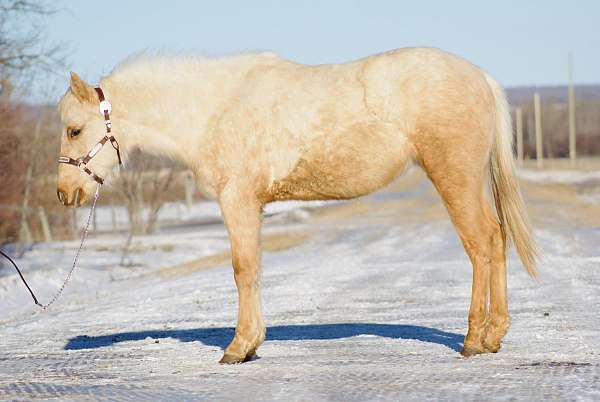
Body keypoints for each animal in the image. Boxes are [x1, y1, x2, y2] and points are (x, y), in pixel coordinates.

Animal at [56, 48, 536, 364]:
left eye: (74, 130)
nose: (64, 192)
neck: (214, 109)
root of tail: (479, 76)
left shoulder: (237, 201)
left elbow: (242, 268)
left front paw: (238, 347)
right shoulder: (253, 206)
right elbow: (254, 270)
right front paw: (252, 344)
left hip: (455, 179)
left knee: (480, 244)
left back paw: (474, 340)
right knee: (496, 239)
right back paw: (494, 335)